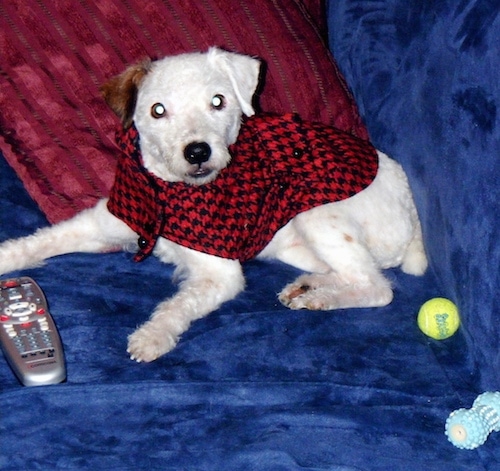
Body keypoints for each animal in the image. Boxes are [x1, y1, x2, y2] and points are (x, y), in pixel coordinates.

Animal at [0, 48, 430, 364]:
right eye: (158, 109)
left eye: (218, 102)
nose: (197, 151)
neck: (170, 191)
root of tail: (413, 213)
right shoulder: (104, 224)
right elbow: (40, 242)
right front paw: (7, 258)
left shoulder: (220, 274)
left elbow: (178, 305)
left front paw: (151, 337)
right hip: (299, 247)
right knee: (356, 274)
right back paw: (310, 286)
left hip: (319, 212)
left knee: (378, 288)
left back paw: (320, 298)